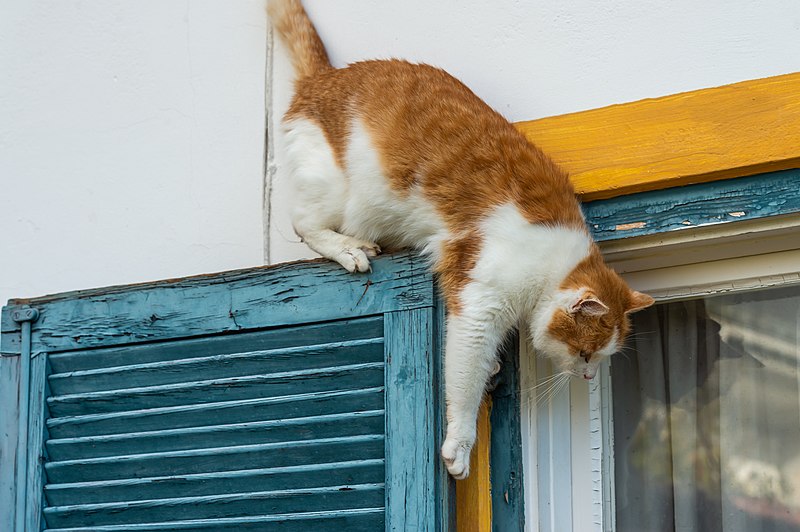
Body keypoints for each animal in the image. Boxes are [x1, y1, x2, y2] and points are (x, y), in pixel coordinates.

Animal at [268, 0, 648, 480]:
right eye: (584, 354)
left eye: (599, 357)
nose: (588, 378)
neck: (553, 266)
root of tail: (325, 77)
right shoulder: (477, 308)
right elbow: (464, 381)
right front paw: (460, 445)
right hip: (339, 192)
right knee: (304, 222)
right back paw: (349, 248)